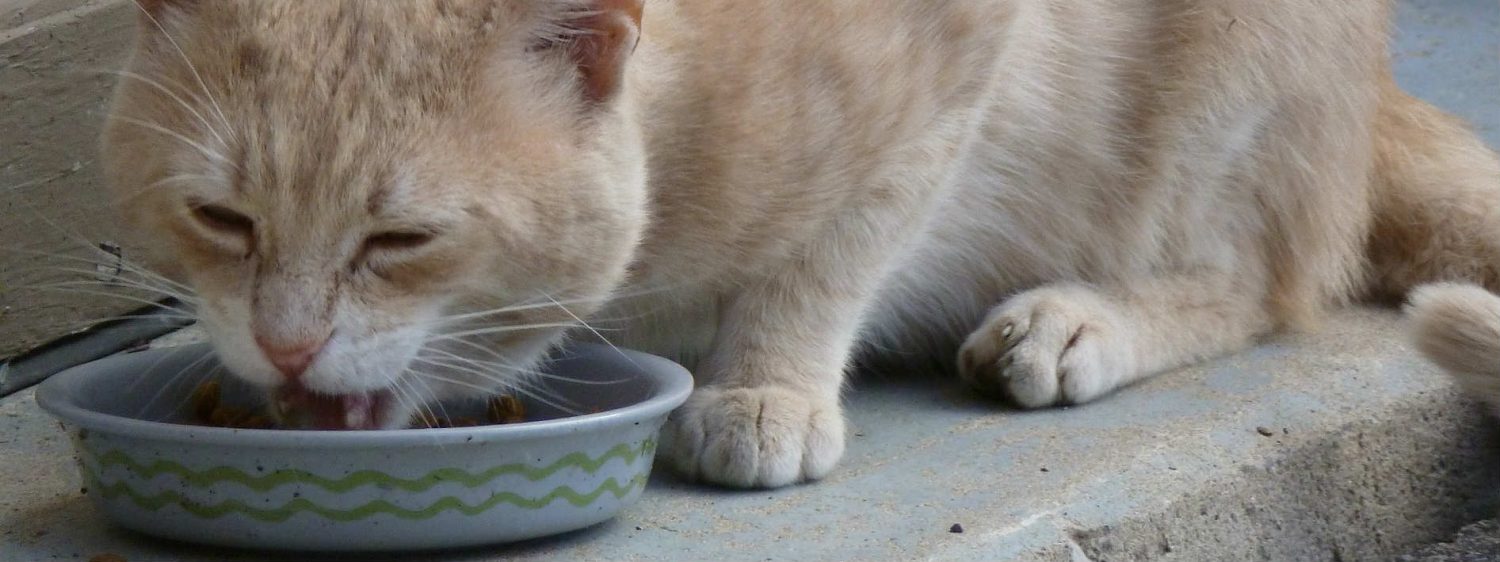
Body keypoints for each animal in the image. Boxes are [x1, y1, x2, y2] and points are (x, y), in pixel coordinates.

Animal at [102, 0, 1500, 488]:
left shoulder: (949, 73)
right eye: (222, 219)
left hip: (1226, 99)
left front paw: (762, 385)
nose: (284, 346)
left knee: (1255, 279)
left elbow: (830, 254)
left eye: (401, 238)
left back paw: (1081, 316)